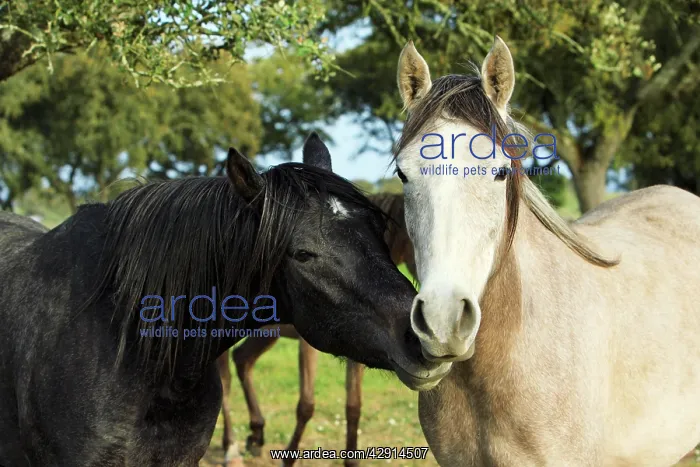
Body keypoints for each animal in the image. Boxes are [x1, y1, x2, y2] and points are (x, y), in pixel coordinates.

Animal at [217, 193, 417, 466]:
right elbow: (306, 404)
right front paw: (288, 458)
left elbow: (354, 405)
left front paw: (351, 461)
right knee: (224, 381)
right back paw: (231, 448)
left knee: (242, 360)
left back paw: (256, 436)